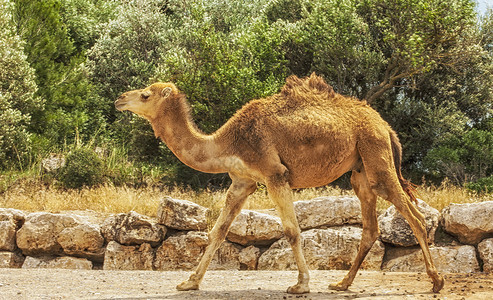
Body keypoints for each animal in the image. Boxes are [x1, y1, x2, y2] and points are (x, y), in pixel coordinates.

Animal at [113, 72, 444, 292]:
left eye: (146, 94)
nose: (119, 99)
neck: (226, 143)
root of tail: (385, 126)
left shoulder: (274, 174)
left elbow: (292, 231)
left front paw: (301, 284)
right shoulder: (243, 181)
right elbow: (218, 231)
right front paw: (190, 282)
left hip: (377, 158)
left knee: (414, 216)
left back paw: (436, 280)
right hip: (361, 170)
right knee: (371, 227)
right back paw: (342, 283)